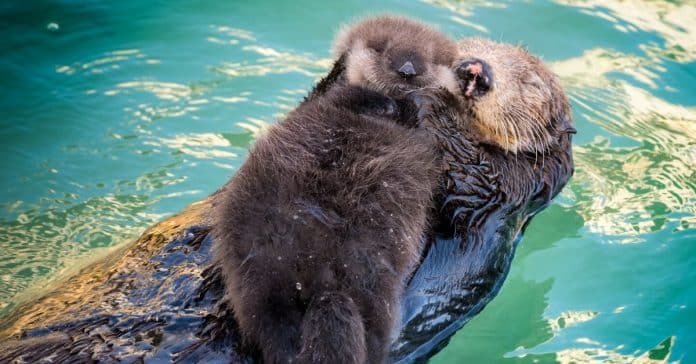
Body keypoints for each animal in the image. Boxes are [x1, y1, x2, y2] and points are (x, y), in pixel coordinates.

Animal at [212, 15, 462, 362]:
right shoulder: (343, 98)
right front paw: (394, 104)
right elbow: (357, 99)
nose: (408, 69)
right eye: (380, 47)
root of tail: (312, 272)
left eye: (430, 58)